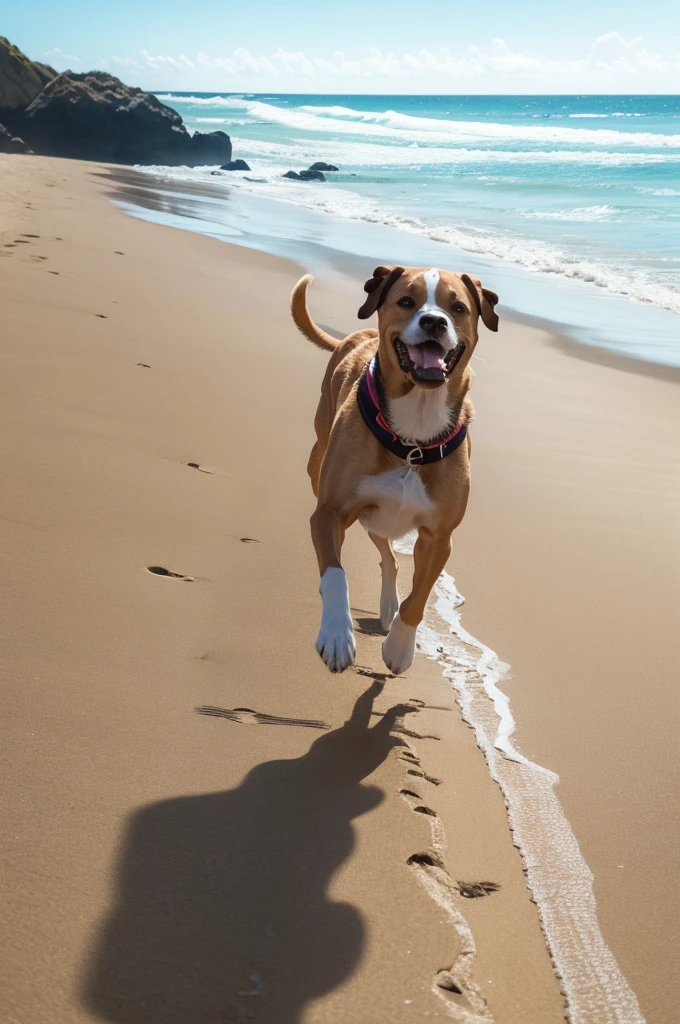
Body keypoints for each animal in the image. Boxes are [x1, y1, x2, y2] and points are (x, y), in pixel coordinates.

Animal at [288, 268, 497, 675]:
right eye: (406, 301)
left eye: (457, 307)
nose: (433, 321)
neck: (414, 438)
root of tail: (359, 336)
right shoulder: (329, 513)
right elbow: (335, 574)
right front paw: (336, 635)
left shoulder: (438, 537)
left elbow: (418, 598)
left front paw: (400, 647)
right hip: (328, 476)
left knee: (392, 560)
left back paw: (388, 609)